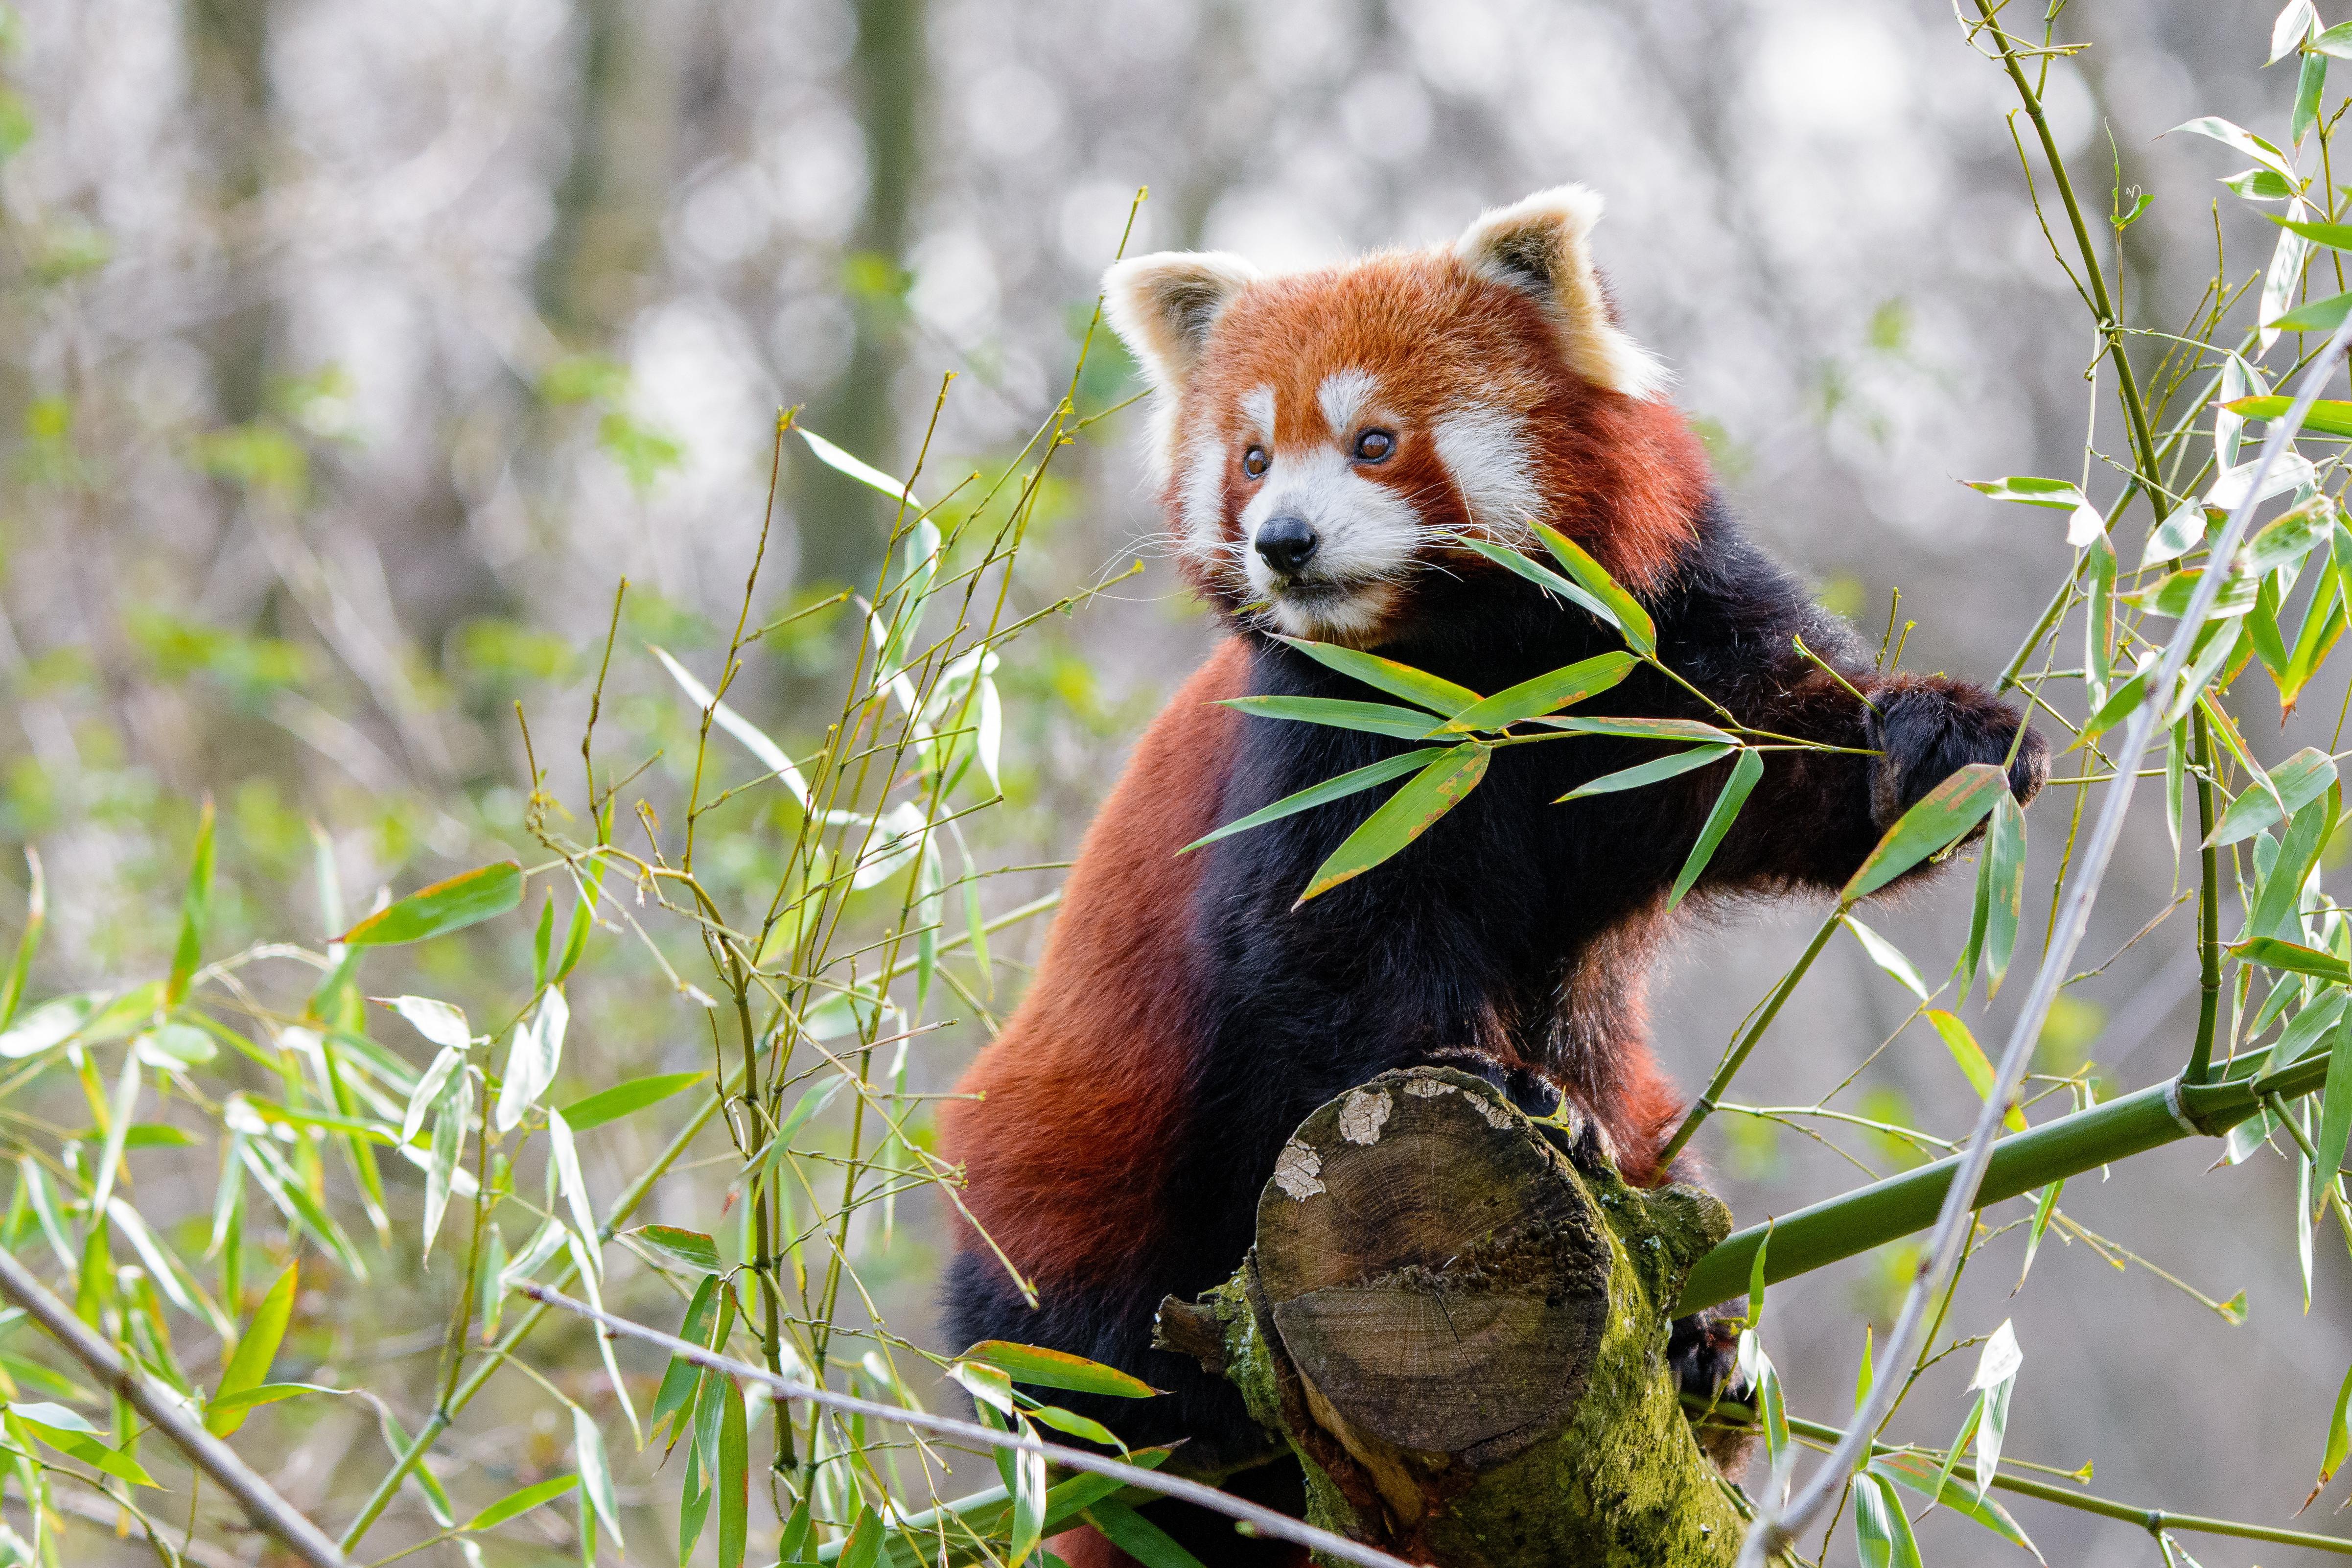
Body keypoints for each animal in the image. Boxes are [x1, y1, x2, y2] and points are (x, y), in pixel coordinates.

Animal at [936, 181, 2041, 1561]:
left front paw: (1938, 743)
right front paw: (1485, 1076)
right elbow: (1329, 952)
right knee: (1078, 1345)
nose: (1281, 540)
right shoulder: (1327, 748)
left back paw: (1703, 1347)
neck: (1475, 674)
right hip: (1068, 1171)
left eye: (1373, 441)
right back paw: (1172, 1412)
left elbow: (1784, 756)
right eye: (1250, 457)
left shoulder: (1661, 652)